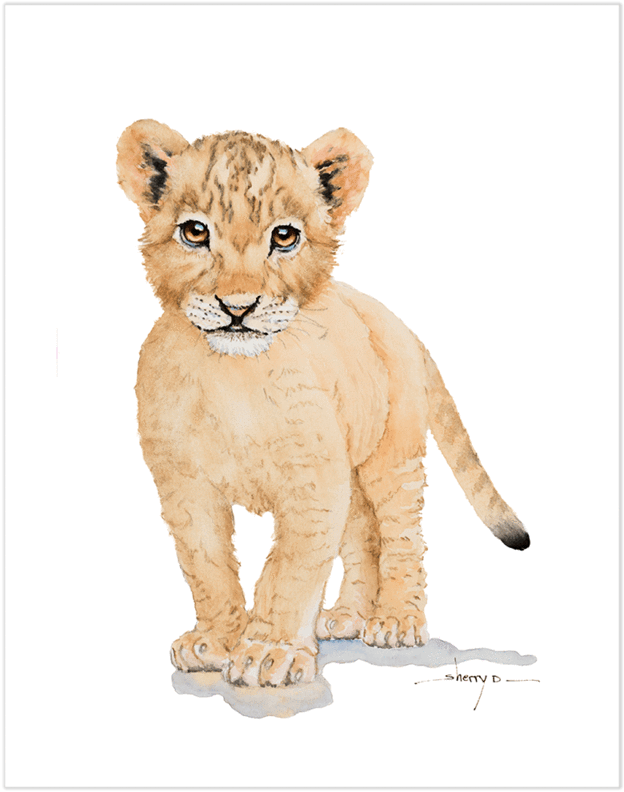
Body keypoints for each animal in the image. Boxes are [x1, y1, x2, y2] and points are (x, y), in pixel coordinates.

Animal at [116, 120, 529, 687]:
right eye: (195, 232)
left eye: (284, 236)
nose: (237, 307)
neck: (231, 376)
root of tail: (399, 324)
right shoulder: (184, 482)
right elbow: (206, 565)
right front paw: (215, 641)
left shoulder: (311, 477)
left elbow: (291, 567)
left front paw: (269, 652)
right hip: (349, 469)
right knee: (361, 536)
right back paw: (349, 616)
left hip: (391, 456)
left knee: (401, 535)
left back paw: (395, 620)